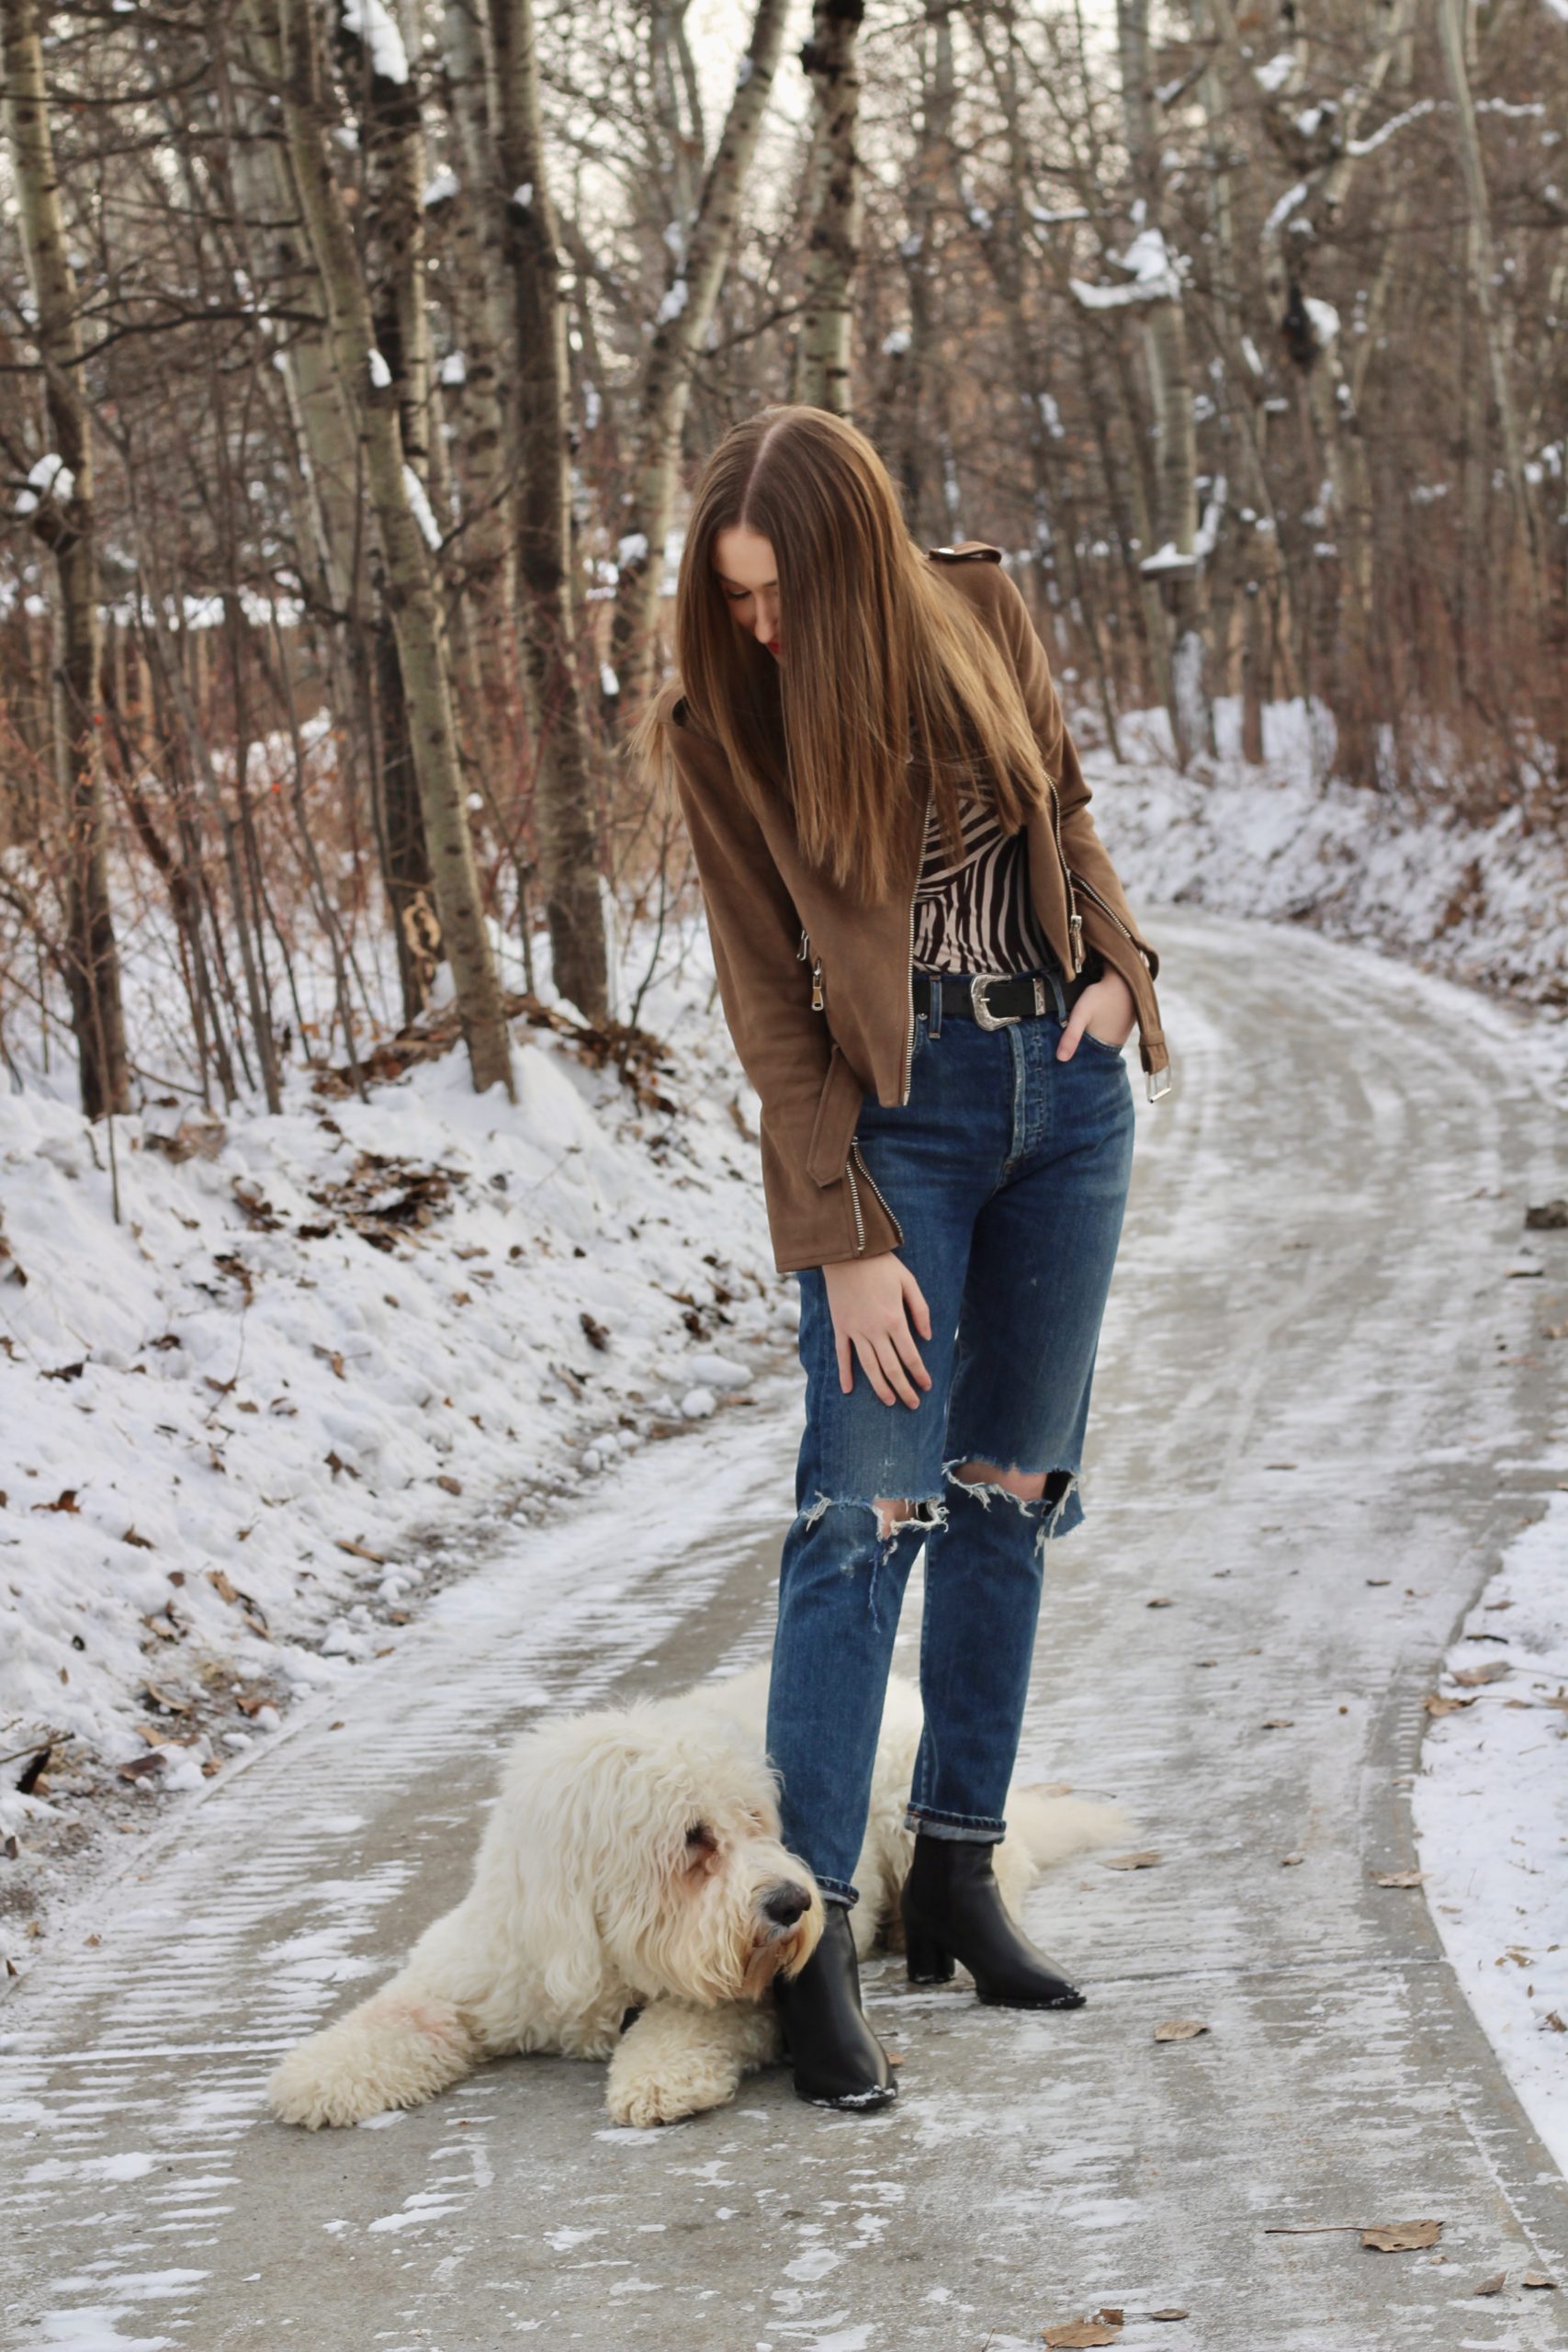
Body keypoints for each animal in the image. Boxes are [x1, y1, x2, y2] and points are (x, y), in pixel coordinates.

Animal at [272, 1656, 1128, 2135]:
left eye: (757, 1820)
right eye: (692, 1840)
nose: (792, 1904)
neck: (600, 1966)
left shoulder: (748, 2000)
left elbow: (690, 2019)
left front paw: (658, 2078)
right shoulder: (474, 1968)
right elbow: (397, 2013)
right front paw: (321, 2072)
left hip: (905, 1810)